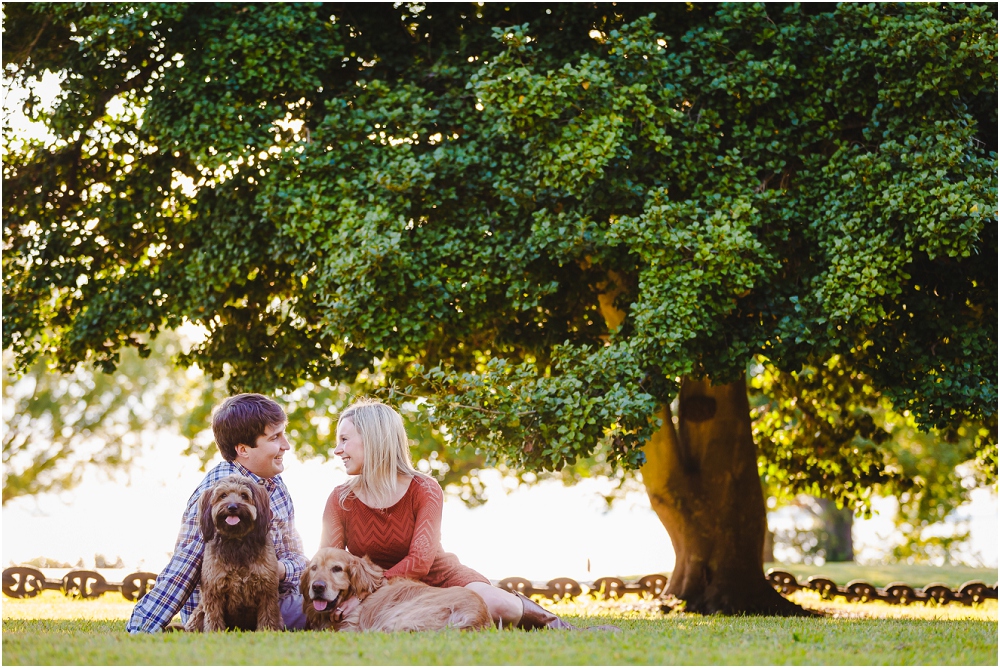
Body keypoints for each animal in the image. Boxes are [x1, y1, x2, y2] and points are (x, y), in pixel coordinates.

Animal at [184, 474, 284, 632]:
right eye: (223, 495)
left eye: (244, 495)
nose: (232, 507)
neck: (236, 541)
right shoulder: (214, 590)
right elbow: (214, 617)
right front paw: (214, 632)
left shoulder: (267, 589)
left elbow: (268, 615)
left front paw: (266, 631)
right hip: (198, 614)